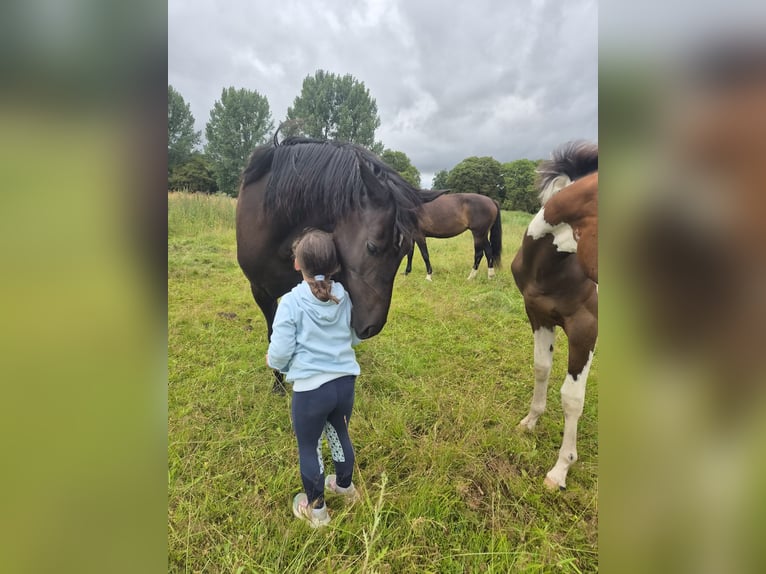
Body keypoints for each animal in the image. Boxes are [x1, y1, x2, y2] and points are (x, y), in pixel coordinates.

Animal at [236, 136, 443, 393]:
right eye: (372, 247)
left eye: (405, 251)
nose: (372, 328)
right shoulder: (261, 292)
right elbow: (275, 334)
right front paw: (278, 384)